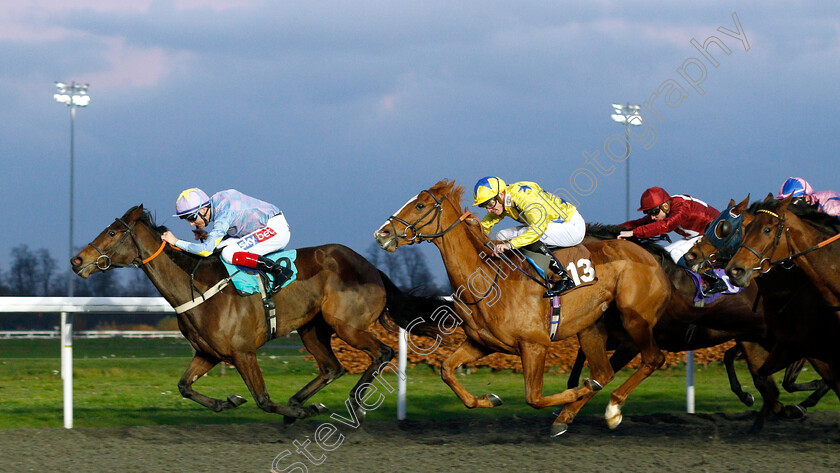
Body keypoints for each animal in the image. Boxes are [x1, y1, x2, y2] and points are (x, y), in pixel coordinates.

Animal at [71, 205, 442, 422]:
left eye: (113, 232)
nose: (77, 260)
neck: (196, 289)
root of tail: (372, 268)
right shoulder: (209, 353)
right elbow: (184, 386)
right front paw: (229, 402)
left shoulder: (243, 352)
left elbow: (263, 400)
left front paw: (297, 411)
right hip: (311, 328)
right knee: (332, 367)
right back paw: (305, 401)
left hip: (346, 325)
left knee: (382, 352)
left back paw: (352, 403)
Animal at [374, 180, 668, 436]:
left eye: (420, 205)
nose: (382, 233)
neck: (488, 281)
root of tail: (648, 254)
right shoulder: (481, 343)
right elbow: (447, 371)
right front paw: (489, 399)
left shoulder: (535, 345)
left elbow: (534, 397)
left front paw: (578, 390)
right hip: (590, 327)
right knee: (604, 373)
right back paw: (565, 417)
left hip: (634, 319)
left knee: (653, 359)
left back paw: (612, 409)